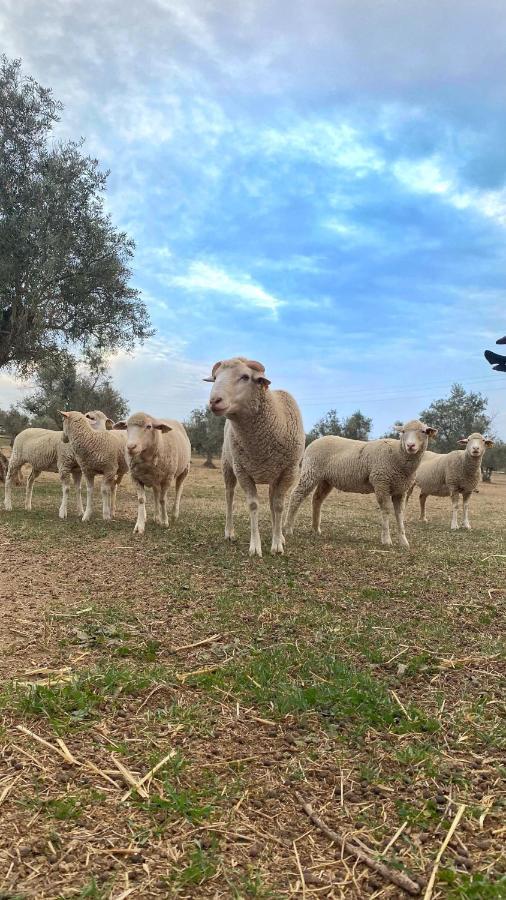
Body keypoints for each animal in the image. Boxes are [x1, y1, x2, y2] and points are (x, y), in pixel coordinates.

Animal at [206, 356, 304, 556]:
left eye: (245, 377)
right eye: (215, 377)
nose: (214, 401)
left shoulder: (288, 472)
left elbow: (278, 505)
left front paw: (277, 544)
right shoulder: (243, 471)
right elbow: (253, 505)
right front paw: (255, 546)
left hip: (274, 475)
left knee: (273, 501)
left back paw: (279, 534)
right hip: (228, 465)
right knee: (229, 496)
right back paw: (229, 532)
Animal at [286, 420, 436, 548]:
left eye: (423, 431)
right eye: (403, 431)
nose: (410, 446)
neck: (398, 455)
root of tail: (315, 441)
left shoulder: (400, 490)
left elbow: (399, 514)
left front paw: (404, 542)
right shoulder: (381, 483)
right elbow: (386, 510)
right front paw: (386, 540)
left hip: (326, 480)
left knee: (317, 499)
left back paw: (316, 529)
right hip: (311, 471)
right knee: (296, 495)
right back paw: (288, 528)